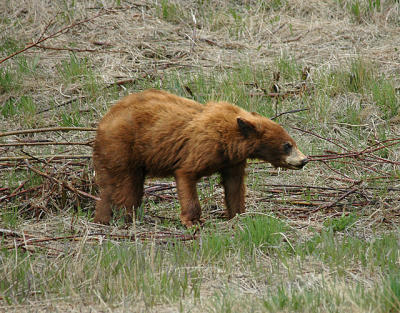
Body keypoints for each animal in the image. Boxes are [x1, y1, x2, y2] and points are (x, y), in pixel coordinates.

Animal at [92, 89, 308, 225]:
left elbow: (234, 186)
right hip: (122, 147)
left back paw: (104, 218)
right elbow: (186, 174)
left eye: (293, 142)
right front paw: (193, 220)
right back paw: (126, 217)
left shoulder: (232, 161)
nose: (304, 160)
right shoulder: (202, 147)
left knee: (117, 187)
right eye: (287, 145)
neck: (230, 137)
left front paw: (239, 214)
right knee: (124, 186)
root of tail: (105, 120)